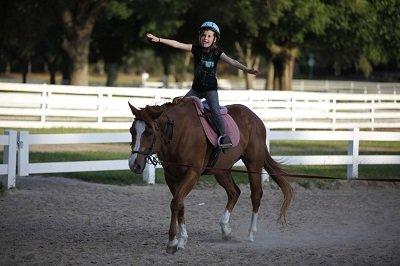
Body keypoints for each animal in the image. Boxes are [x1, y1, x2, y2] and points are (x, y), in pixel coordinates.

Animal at [128, 98, 294, 254]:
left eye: (149, 132)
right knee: (234, 192)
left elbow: (175, 203)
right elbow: (180, 203)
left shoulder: (192, 174)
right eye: (131, 131)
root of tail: (255, 118)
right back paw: (225, 229)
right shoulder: (171, 176)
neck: (178, 133)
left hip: (253, 164)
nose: (134, 164)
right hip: (221, 171)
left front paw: (171, 242)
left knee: (256, 195)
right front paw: (181, 240)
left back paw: (250, 234)